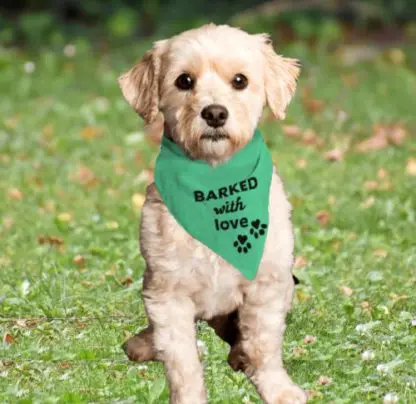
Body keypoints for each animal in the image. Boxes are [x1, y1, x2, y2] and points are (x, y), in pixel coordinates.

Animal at [118, 23, 306, 402]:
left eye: (240, 80)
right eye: (184, 81)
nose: (215, 113)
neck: (215, 180)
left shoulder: (268, 284)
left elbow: (264, 345)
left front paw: (277, 387)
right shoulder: (168, 293)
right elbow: (182, 362)